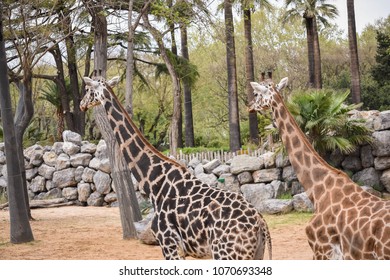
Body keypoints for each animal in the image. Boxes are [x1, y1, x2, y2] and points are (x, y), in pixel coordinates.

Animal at [80, 75, 272, 260]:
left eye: (88, 89)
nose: (82, 104)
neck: (153, 184)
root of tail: (261, 223)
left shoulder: (169, 244)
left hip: (227, 255)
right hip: (255, 254)